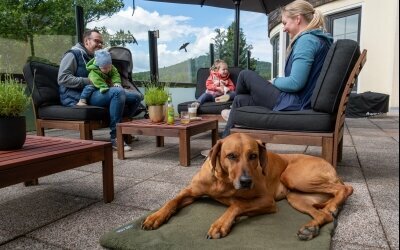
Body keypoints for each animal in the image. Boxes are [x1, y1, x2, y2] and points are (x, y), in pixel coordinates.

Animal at [141, 133, 354, 240]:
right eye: (231, 156)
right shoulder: (191, 191)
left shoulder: (267, 200)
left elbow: (237, 204)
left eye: (253, 156)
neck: (224, 180)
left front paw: (221, 223)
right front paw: (156, 216)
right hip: (296, 197)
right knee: (324, 215)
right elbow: (173, 200)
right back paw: (312, 226)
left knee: (347, 188)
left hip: (295, 176)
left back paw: (333, 205)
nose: (246, 182)